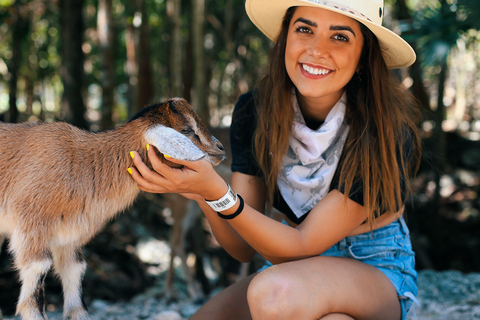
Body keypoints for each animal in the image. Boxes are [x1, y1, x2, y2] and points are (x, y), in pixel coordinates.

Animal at [0, 98, 225, 320]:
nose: (220, 148)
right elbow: (36, 284)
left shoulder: (68, 234)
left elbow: (74, 275)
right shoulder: (31, 224)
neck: (79, 163)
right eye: (187, 129)